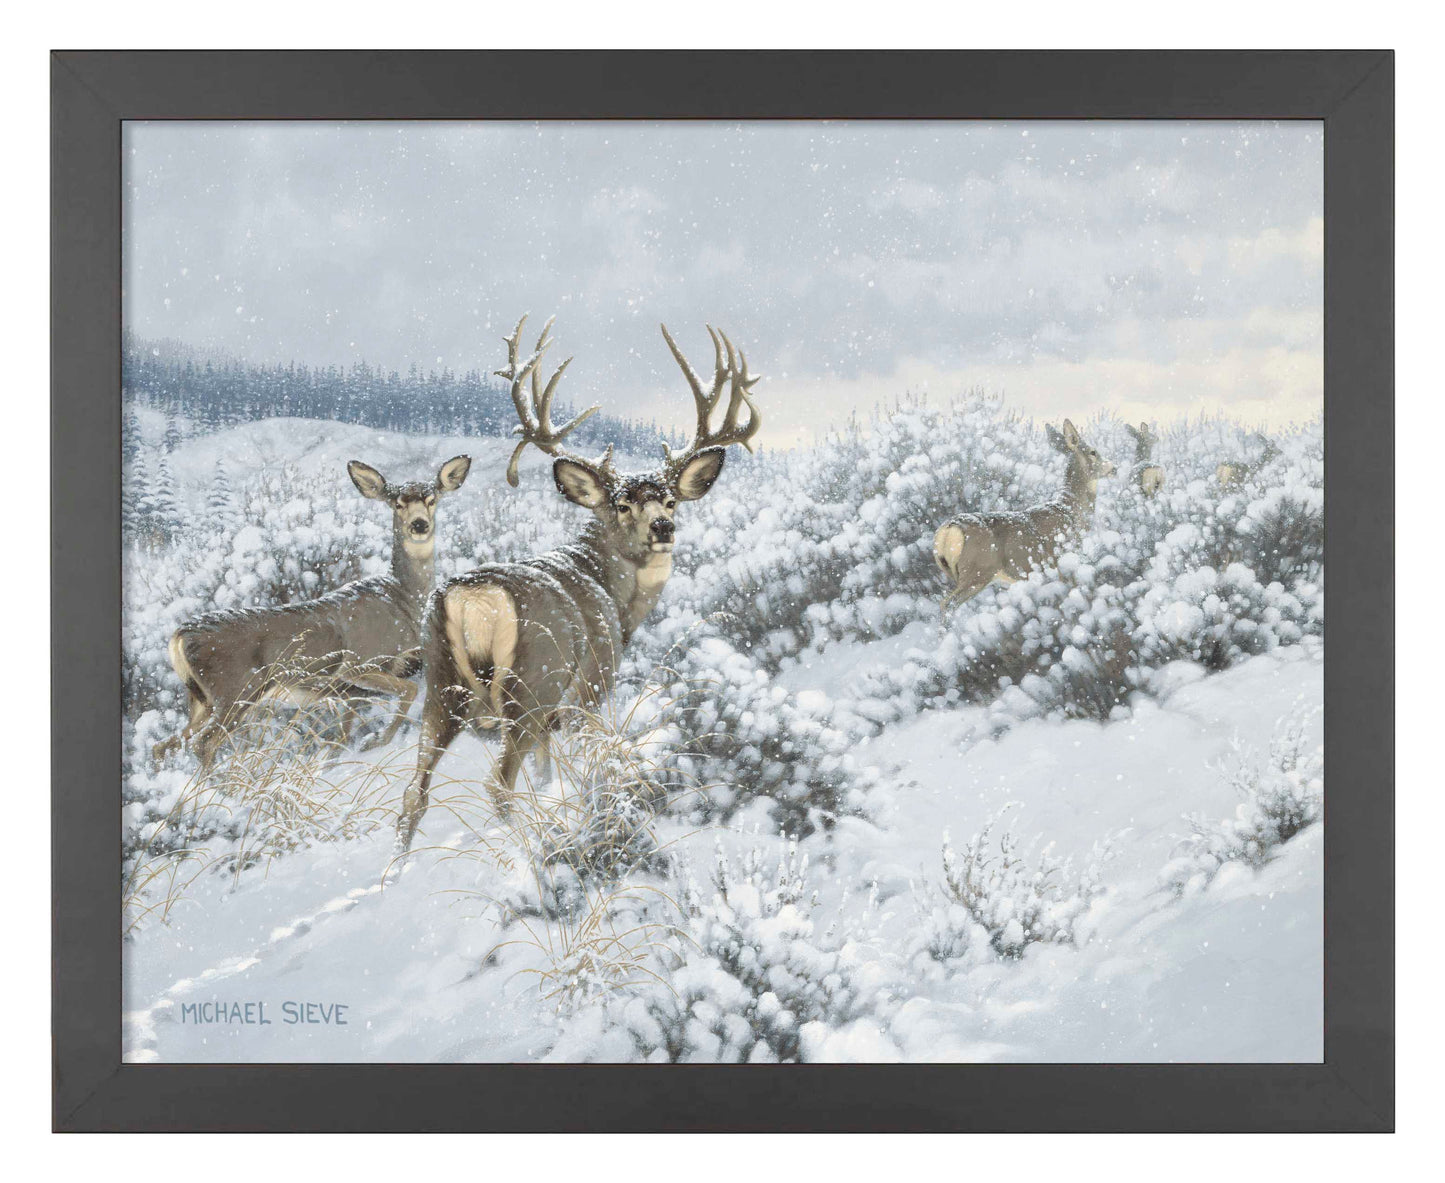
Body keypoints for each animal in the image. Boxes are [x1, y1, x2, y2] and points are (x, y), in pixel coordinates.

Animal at [153, 454, 473, 772]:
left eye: (432, 499)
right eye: (397, 503)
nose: (419, 524)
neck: (402, 600)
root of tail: (179, 637)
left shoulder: (350, 692)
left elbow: (341, 737)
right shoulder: (359, 663)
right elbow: (409, 691)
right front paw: (376, 741)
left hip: (202, 700)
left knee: (164, 745)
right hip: (236, 690)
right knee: (203, 744)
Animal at [393, 314, 761, 853]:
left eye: (671, 500)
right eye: (622, 504)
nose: (663, 528)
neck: (613, 593)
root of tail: (473, 596)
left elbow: (547, 775)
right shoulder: (590, 690)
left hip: (440, 684)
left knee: (413, 795)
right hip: (534, 683)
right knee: (497, 784)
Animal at [932, 419, 1116, 622]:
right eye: (1093, 452)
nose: (1114, 468)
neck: (1072, 510)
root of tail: (948, 530)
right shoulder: (1063, 562)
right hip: (978, 570)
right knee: (947, 604)